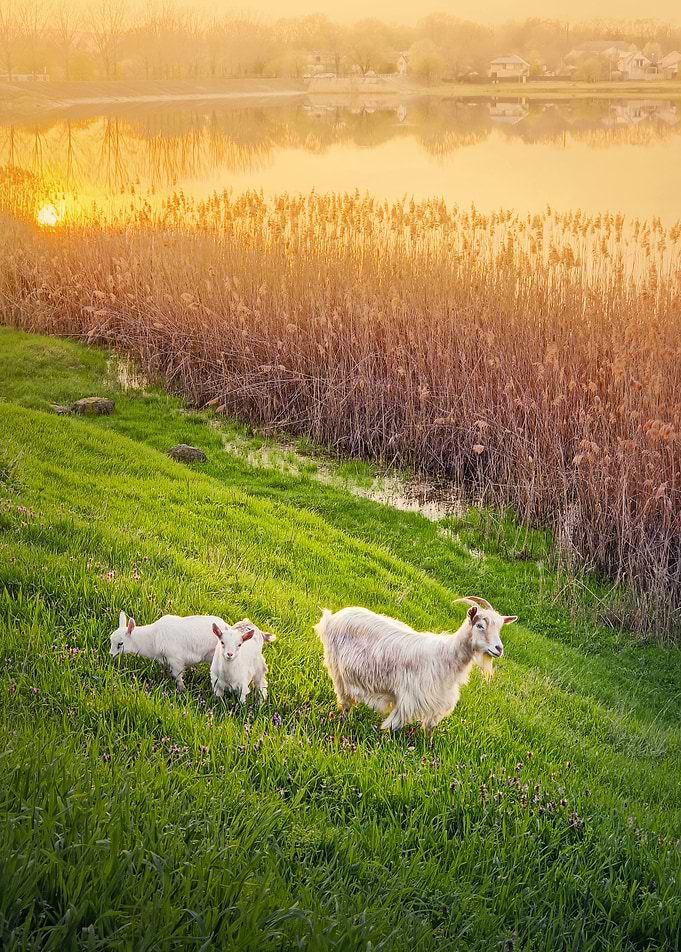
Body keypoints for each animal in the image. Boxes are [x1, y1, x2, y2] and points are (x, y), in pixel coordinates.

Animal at [315, 597, 517, 734]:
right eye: (480, 625)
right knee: (344, 697)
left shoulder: (437, 703)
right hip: (337, 668)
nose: (498, 649)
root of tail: (333, 617)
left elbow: (429, 729)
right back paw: (344, 718)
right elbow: (393, 725)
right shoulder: (410, 698)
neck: (446, 657)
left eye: (500, 628)